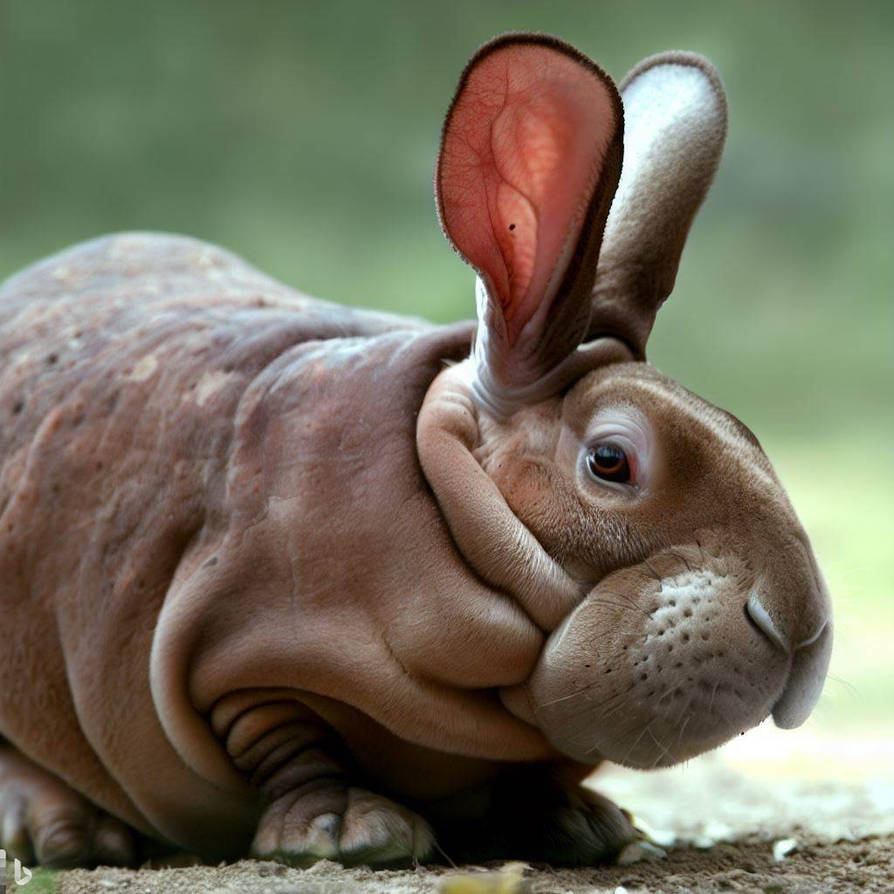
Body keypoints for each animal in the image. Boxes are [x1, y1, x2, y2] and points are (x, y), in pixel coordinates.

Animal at [0, 33, 831, 869]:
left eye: (748, 434)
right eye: (611, 462)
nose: (802, 628)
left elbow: (538, 763)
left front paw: (583, 826)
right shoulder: (226, 655)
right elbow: (292, 741)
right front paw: (346, 830)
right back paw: (63, 834)